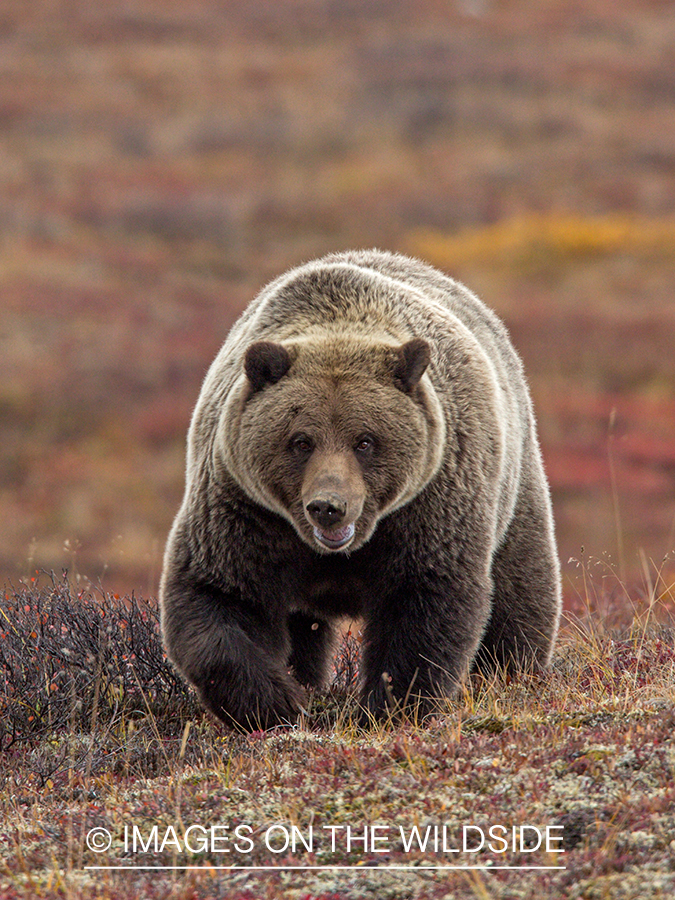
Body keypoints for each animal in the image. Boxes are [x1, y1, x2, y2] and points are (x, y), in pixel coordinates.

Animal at [158, 250, 560, 728]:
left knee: (521, 583)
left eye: (365, 440)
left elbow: (423, 602)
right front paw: (277, 703)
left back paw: (512, 670)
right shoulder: (246, 510)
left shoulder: (427, 508)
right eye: (301, 440)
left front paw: (389, 705)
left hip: (513, 485)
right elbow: (220, 596)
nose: (328, 507)